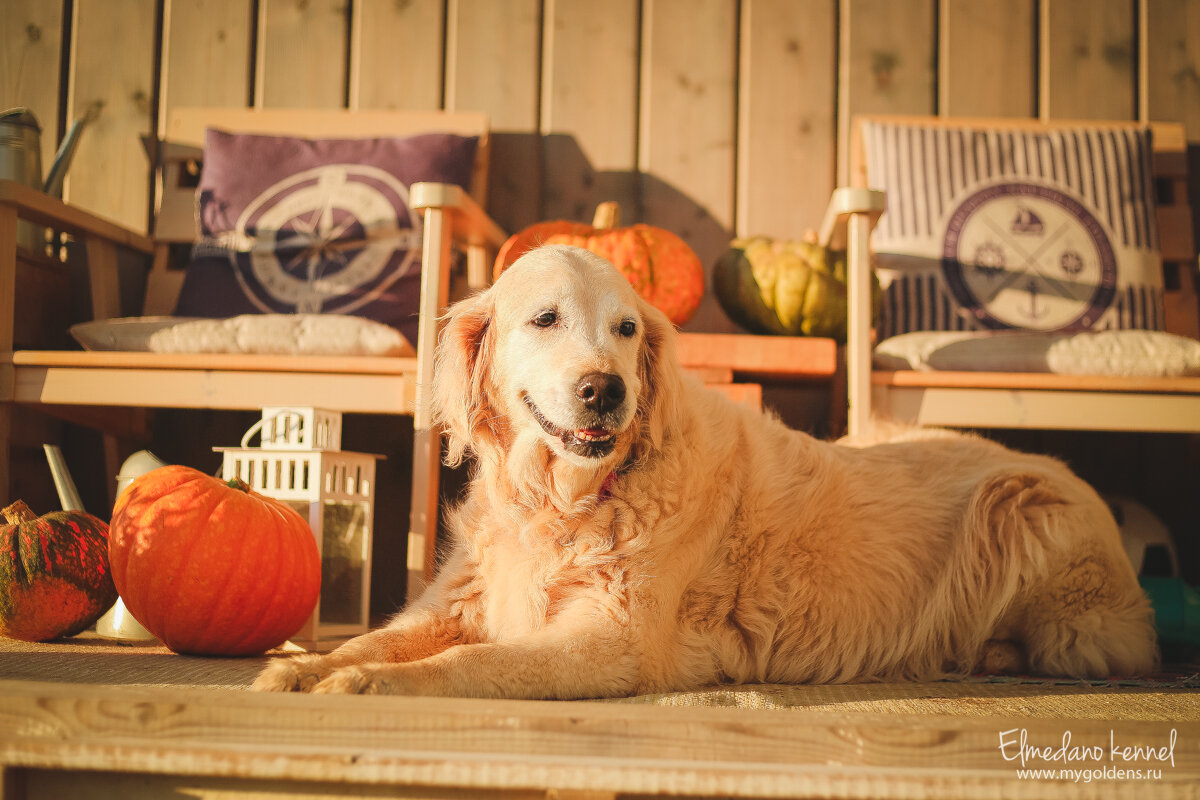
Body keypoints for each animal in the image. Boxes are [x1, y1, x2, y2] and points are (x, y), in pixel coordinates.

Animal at [253, 242, 1152, 695]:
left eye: (625, 329)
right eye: (544, 319)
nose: (606, 390)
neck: (562, 502)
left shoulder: (613, 640)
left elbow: (470, 664)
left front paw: (365, 686)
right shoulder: (456, 602)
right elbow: (377, 637)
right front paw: (310, 666)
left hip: (1020, 500)